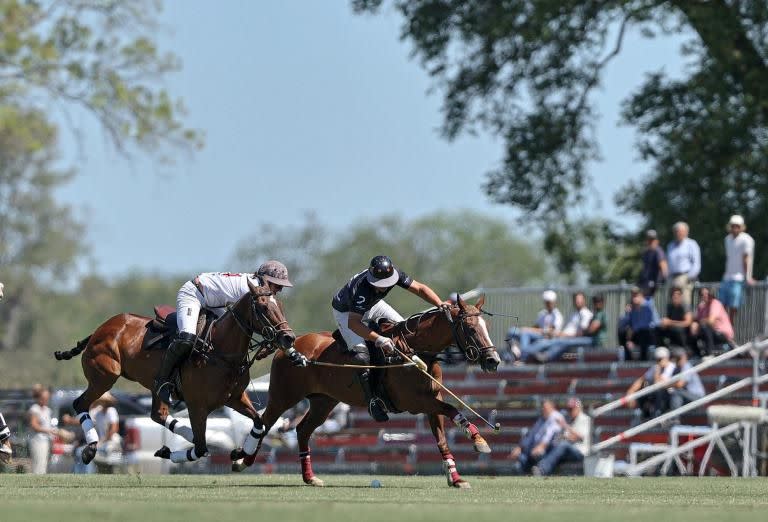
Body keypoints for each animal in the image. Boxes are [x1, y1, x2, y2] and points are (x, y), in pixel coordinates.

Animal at [53, 278, 294, 466]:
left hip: (151, 387)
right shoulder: (197, 405)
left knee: (158, 415)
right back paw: (90, 448)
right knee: (79, 403)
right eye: (263, 307)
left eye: (281, 305)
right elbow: (202, 448)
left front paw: (241, 452)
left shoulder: (234, 398)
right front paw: (169, 451)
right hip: (104, 376)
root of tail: (99, 329)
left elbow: (259, 422)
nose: (288, 338)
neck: (221, 352)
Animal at [231, 294, 500, 486]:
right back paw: (243, 460)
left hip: (323, 401)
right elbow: (452, 408)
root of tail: (286, 346)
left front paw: (456, 477)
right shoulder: (414, 402)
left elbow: (442, 437)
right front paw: (479, 440)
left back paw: (309, 477)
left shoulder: (432, 399)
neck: (416, 350)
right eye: (471, 329)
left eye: (486, 325)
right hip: (283, 395)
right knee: (265, 422)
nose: (493, 361)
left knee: (302, 429)